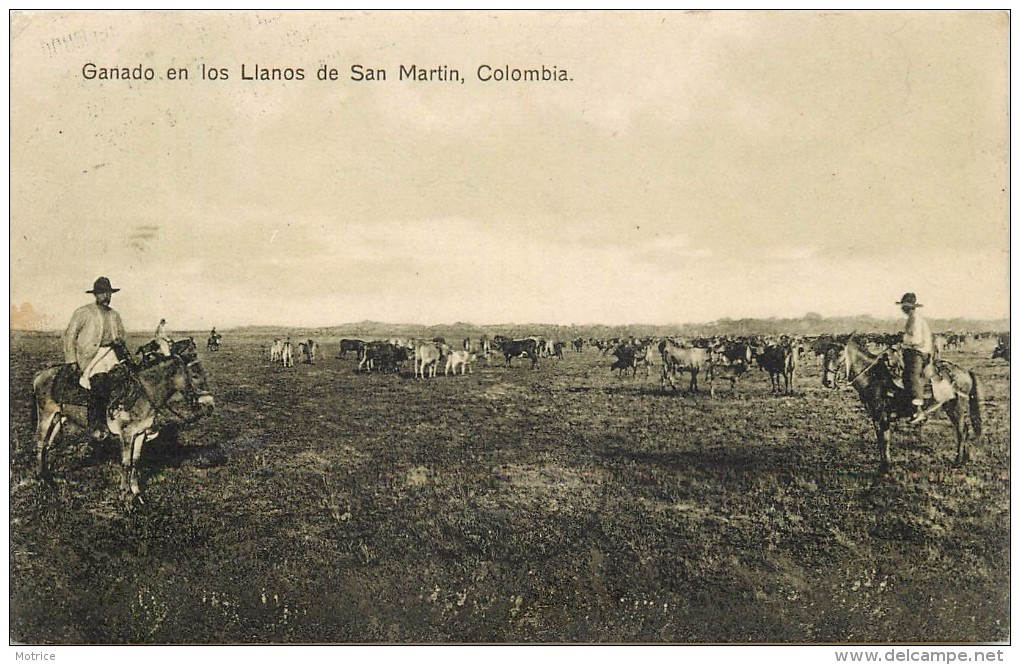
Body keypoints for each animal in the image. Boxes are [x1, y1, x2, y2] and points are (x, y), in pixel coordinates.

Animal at [840, 334, 983, 469]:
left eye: (840, 354)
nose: (830, 380)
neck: (874, 376)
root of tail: (965, 372)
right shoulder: (875, 415)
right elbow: (880, 439)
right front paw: (883, 464)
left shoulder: (883, 416)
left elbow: (885, 439)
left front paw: (886, 466)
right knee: (965, 429)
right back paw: (965, 458)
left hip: (956, 406)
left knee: (961, 431)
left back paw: (958, 461)